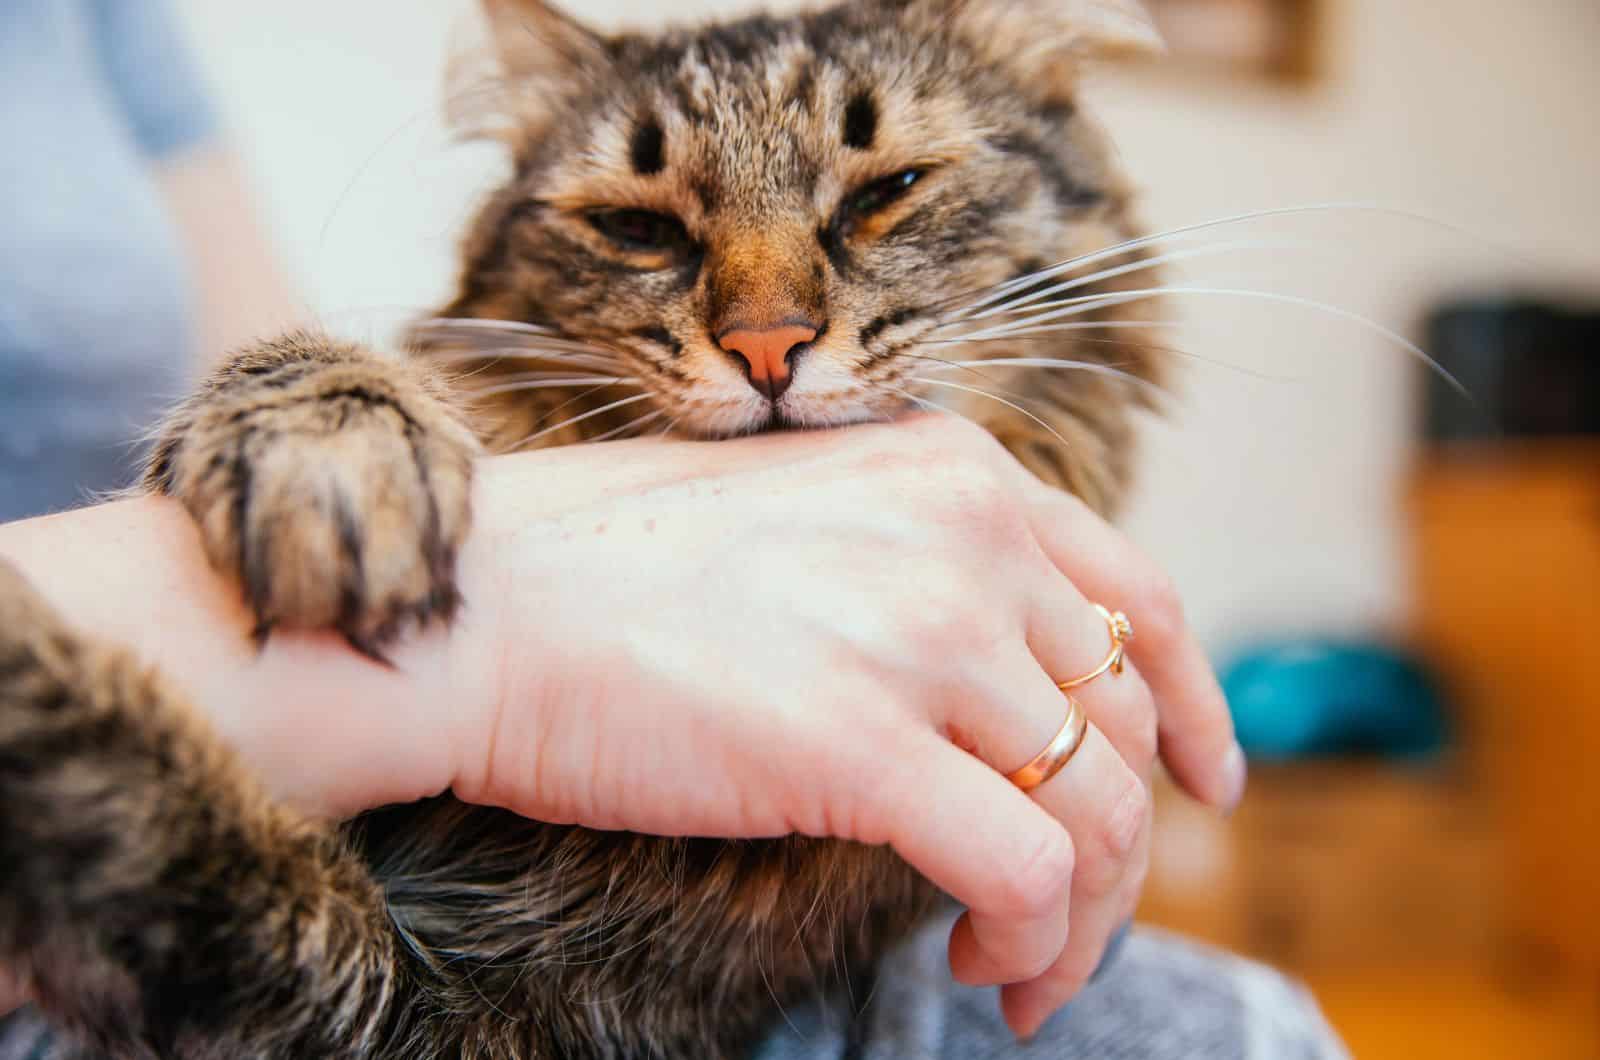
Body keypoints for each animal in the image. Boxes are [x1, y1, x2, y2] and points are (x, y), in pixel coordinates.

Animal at [0, 0, 1177, 1056]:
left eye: (889, 192)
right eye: (636, 229)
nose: (767, 345)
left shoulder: (447, 1014)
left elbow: (129, 796)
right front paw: (334, 446)